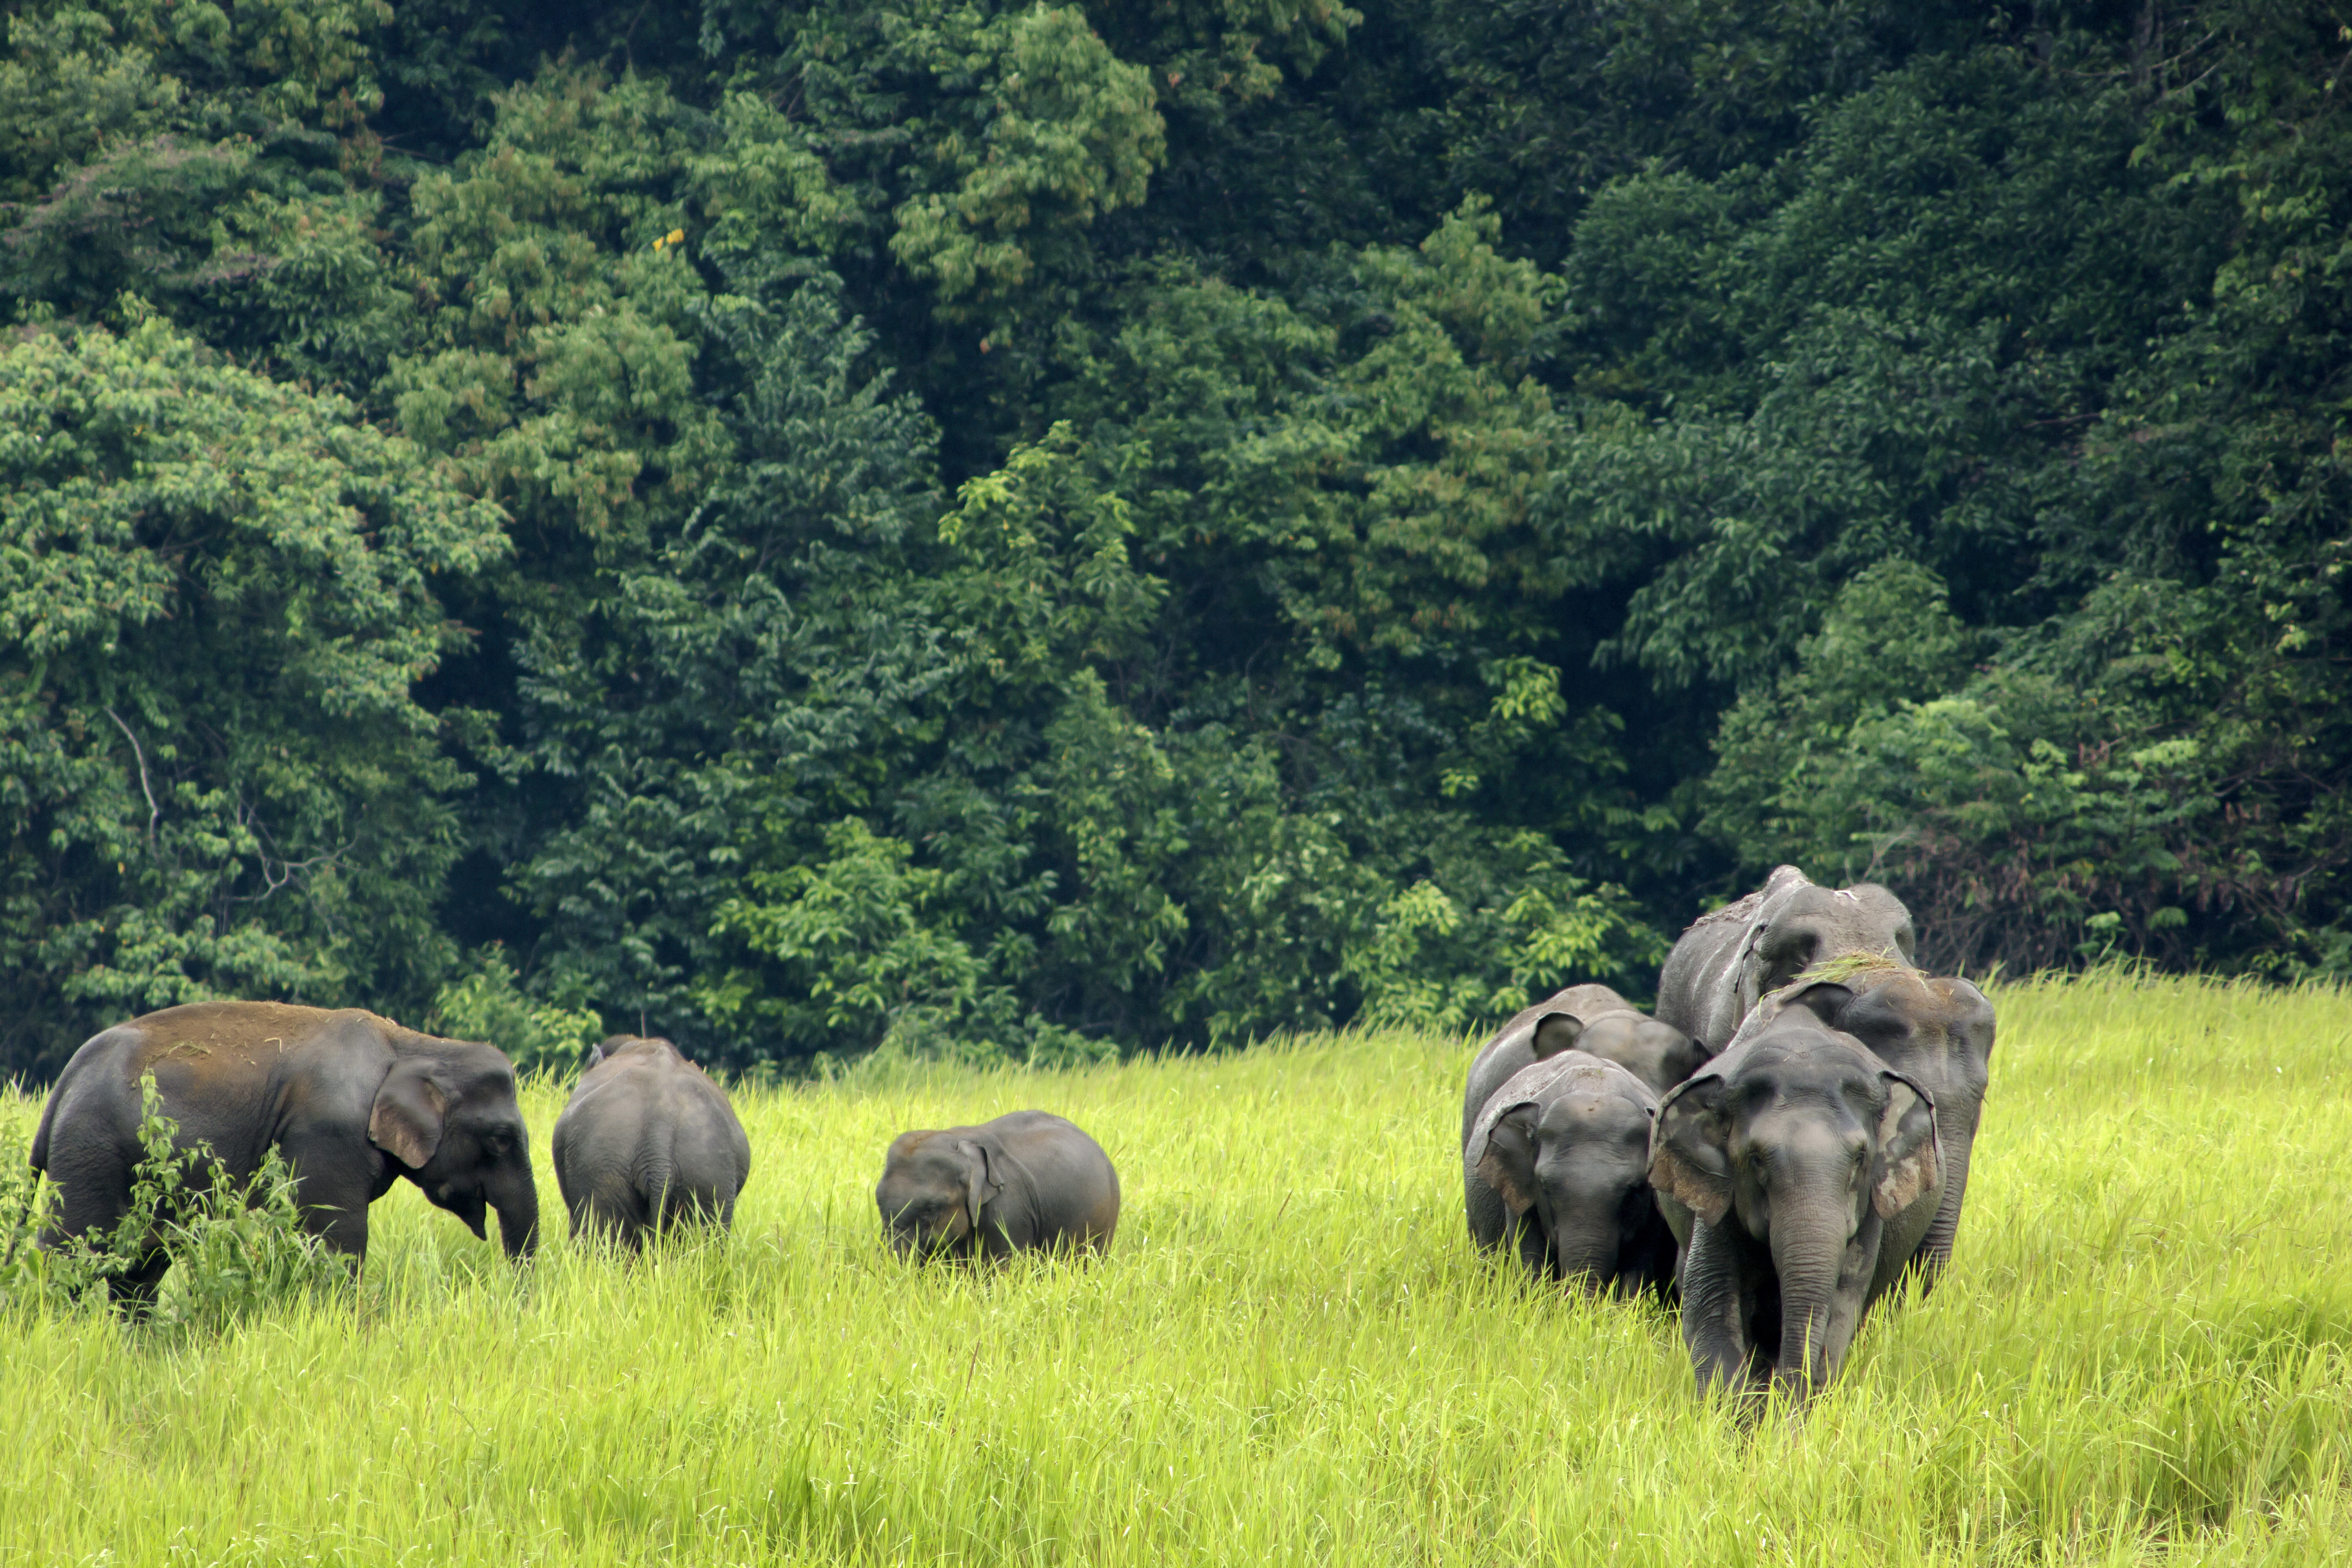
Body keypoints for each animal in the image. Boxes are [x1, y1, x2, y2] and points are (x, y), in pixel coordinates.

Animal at [30, 1001, 538, 1306]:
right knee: (70, 1256)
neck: (414, 1044)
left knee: (139, 1269)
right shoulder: (330, 1136)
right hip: (90, 1155)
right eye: (501, 1138)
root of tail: (67, 1076)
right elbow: (337, 1241)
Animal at [1464, 1051, 1678, 1298]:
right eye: (1545, 1186)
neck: (1594, 1087)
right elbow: (1530, 1257)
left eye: (1634, 1190)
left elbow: (1637, 1269)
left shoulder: (1653, 1211)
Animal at [1648, 995, 1941, 1403]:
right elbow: (1710, 1306)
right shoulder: (1718, 1198)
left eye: (1860, 1159)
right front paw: (1742, 1415)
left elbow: (1839, 1311)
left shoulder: (1869, 1210)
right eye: (1756, 1159)